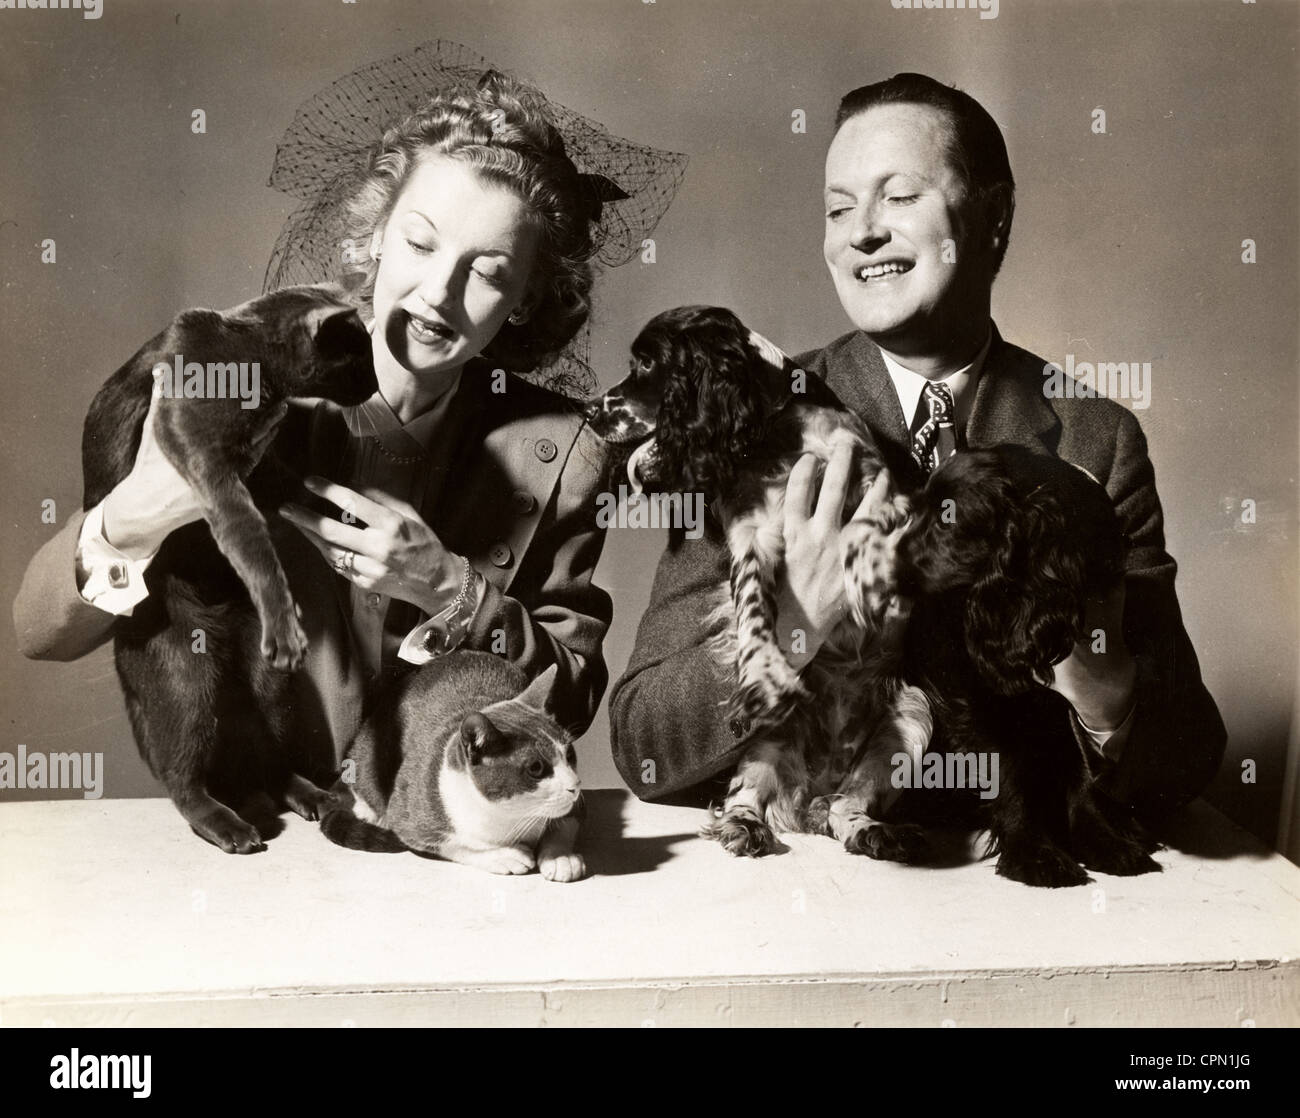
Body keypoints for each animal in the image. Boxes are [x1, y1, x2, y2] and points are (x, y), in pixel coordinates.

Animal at [81, 283, 379, 852]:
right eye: (360, 358)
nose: (377, 384)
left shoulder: (264, 468)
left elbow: (303, 486)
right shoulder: (211, 463)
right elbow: (252, 540)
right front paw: (285, 618)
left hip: (270, 687)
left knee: (270, 759)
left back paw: (313, 795)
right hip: (184, 674)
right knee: (183, 778)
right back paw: (228, 824)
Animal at [319, 655, 590, 883]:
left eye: (569, 754)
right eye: (536, 768)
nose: (575, 786)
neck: (511, 817)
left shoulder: (574, 808)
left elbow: (567, 823)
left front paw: (560, 857)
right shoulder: (410, 816)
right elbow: (453, 843)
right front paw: (503, 855)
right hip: (372, 756)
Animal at [585, 308, 930, 863]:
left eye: (646, 364)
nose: (588, 409)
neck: (771, 443)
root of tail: (811, 790)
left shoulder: (872, 479)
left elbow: (872, 532)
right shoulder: (750, 536)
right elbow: (751, 607)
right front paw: (764, 675)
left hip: (912, 715)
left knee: (847, 805)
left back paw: (874, 831)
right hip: (762, 743)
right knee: (748, 794)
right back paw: (745, 826)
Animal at [894, 441, 1159, 883]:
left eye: (946, 520)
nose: (874, 556)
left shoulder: (1071, 701)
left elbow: (1081, 766)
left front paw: (1103, 841)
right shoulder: (974, 704)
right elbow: (1007, 772)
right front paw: (1034, 853)